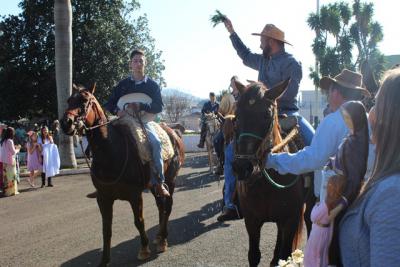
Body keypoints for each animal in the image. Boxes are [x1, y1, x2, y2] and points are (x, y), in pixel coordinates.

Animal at [60, 85, 185, 266]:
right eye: (69, 100)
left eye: (84, 101)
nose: (65, 123)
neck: (111, 151)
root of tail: (174, 133)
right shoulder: (103, 198)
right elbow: (106, 229)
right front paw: (104, 260)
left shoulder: (134, 195)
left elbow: (139, 221)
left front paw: (144, 249)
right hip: (154, 185)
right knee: (161, 206)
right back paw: (159, 236)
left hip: (171, 180)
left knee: (167, 206)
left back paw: (162, 240)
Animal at [233, 80, 304, 266]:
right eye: (236, 116)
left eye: (266, 114)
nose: (242, 167)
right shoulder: (251, 221)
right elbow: (254, 255)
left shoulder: (290, 220)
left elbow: (284, 254)